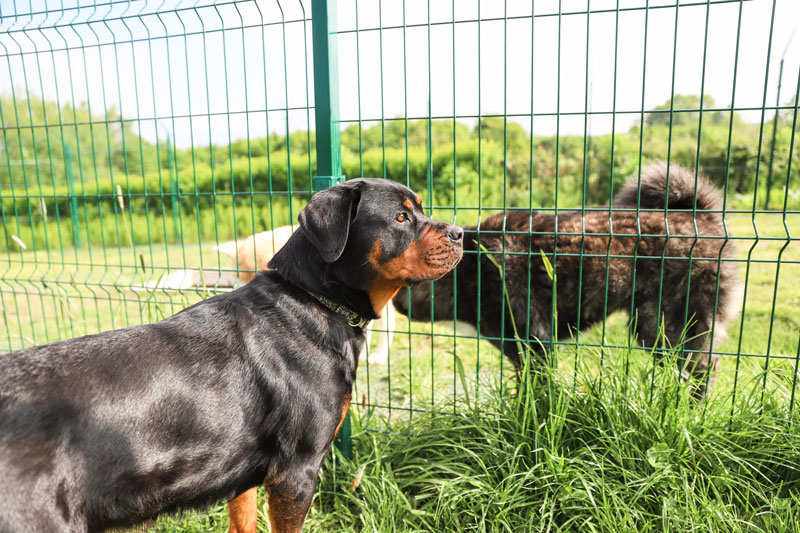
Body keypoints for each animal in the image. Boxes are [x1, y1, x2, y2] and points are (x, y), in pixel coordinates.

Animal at [0, 179, 462, 532]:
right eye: (401, 218)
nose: (460, 233)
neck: (313, 300)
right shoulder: (295, 472)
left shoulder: (244, 472)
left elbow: (243, 521)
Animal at [396, 164, 740, 396]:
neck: (471, 270)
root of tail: (701, 215)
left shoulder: (536, 347)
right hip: (653, 330)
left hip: (673, 326)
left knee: (704, 368)